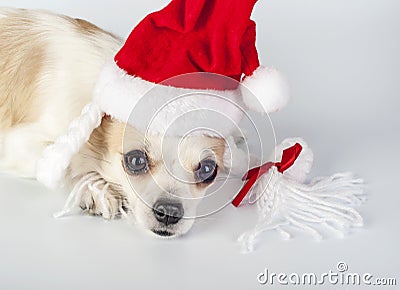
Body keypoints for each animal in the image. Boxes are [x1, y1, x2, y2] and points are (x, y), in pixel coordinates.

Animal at [0, 7, 230, 238]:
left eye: (208, 170)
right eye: (136, 160)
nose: (169, 212)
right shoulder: (19, 144)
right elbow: (71, 163)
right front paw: (97, 189)